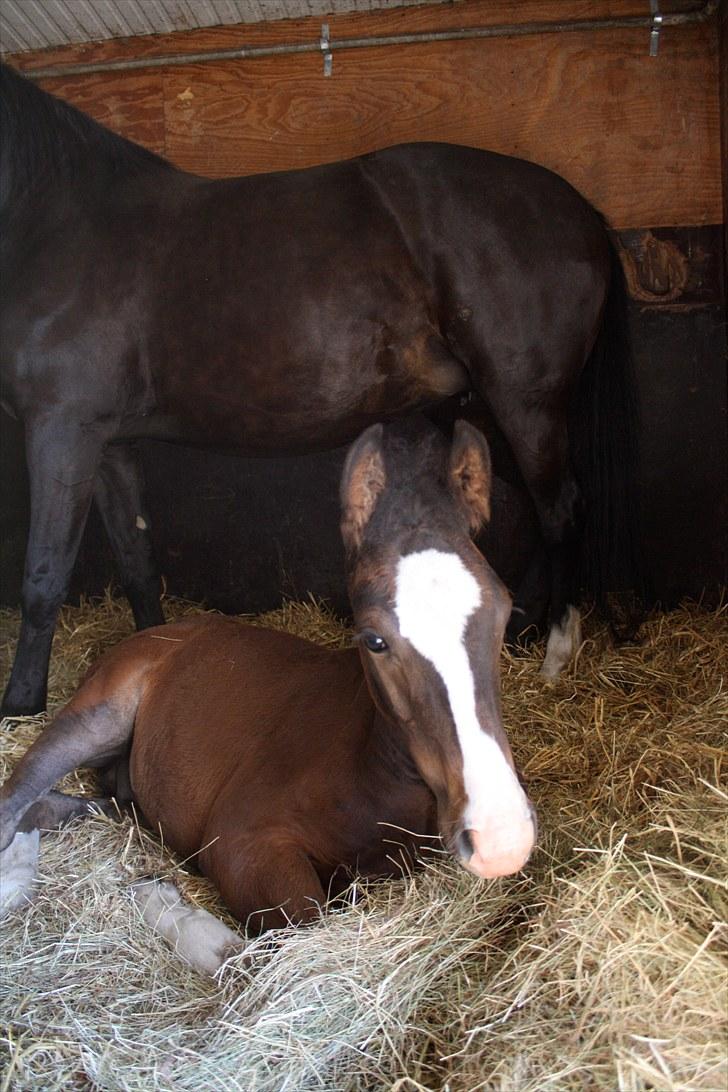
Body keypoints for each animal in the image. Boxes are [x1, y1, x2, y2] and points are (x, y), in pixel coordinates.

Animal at [0, 66, 637, 716]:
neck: (58, 227)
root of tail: (582, 210)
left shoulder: (61, 431)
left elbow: (44, 575)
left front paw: (20, 703)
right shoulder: (108, 443)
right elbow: (135, 558)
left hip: (526, 405)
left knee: (560, 509)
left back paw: (556, 655)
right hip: (485, 413)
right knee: (544, 508)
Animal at [0, 417, 534, 974]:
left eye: (503, 612)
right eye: (374, 639)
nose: (501, 836)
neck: (369, 771)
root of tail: (158, 633)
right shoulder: (242, 841)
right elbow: (283, 947)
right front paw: (164, 904)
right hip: (96, 717)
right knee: (16, 799)